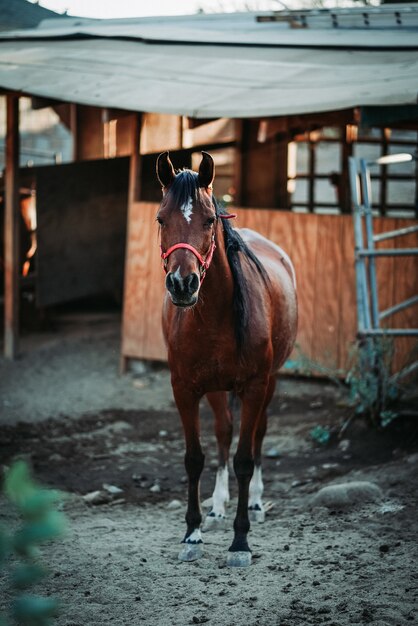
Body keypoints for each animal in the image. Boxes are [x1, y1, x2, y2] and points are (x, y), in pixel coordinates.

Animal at [156, 151, 298, 564]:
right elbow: (195, 457)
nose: (182, 284)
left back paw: (256, 503)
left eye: (208, 220)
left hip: (269, 382)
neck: (214, 316)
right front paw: (192, 533)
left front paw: (240, 541)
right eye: (161, 219)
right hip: (217, 389)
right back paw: (218, 506)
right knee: (223, 432)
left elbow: (245, 460)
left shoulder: (253, 387)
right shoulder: (184, 389)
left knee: (258, 433)